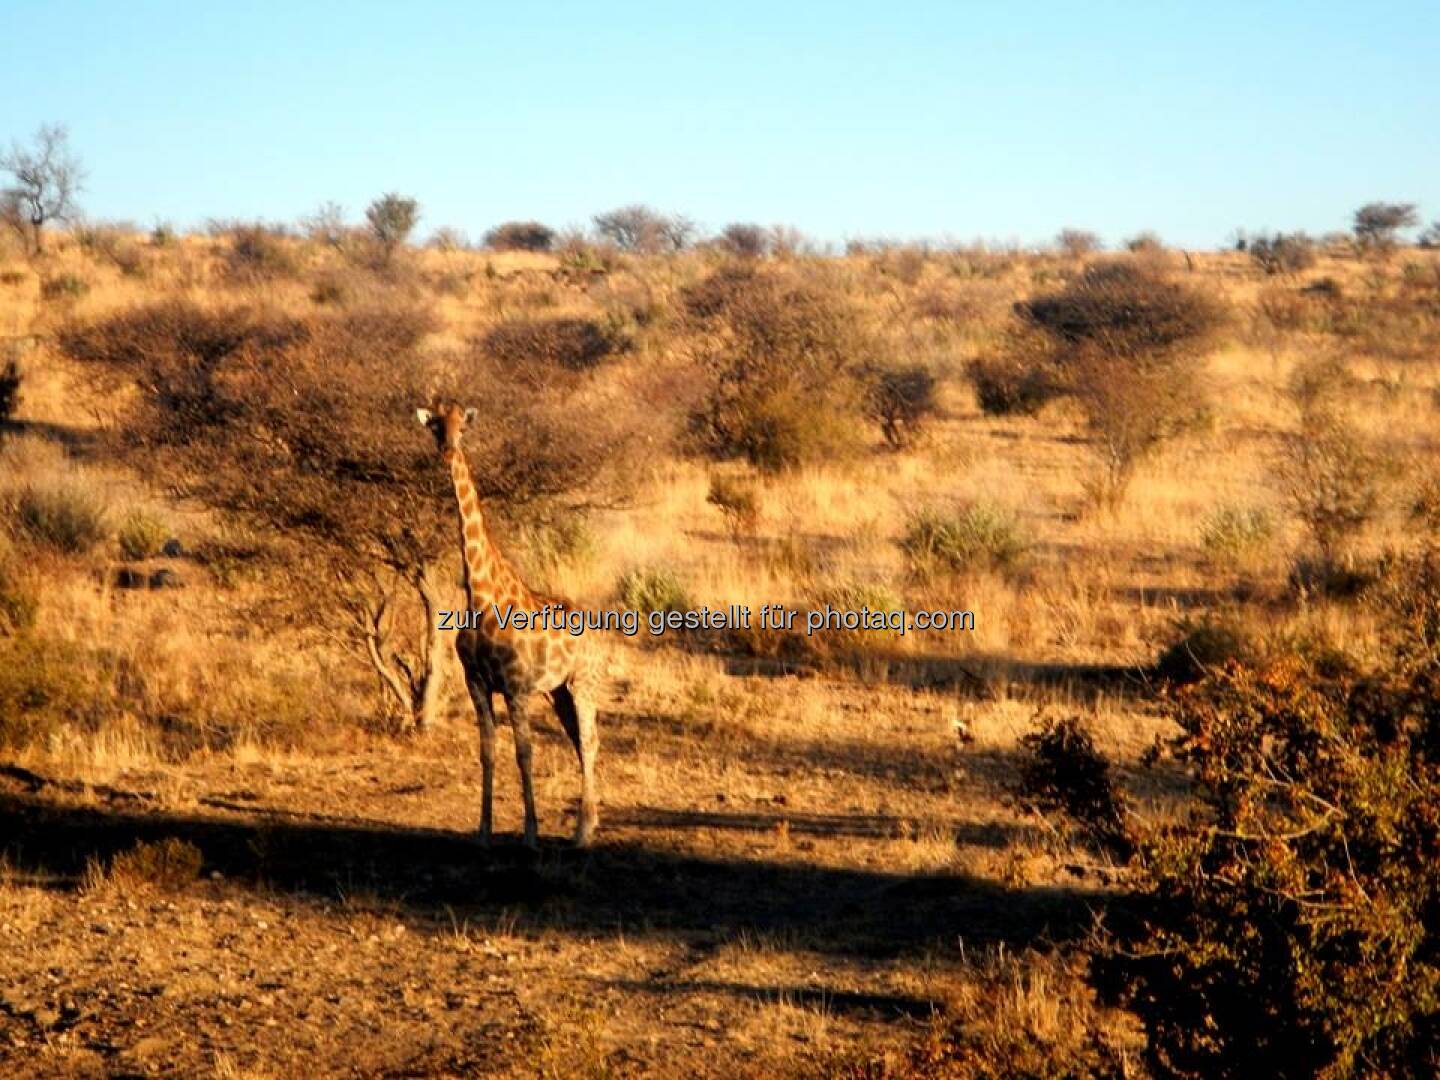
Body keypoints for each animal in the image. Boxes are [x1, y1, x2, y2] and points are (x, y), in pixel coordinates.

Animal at [414, 403, 599, 852]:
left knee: (590, 742)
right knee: (580, 742)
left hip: (583, 682)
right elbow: (488, 752)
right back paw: (586, 824)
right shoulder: (477, 683)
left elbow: (524, 752)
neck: (480, 598)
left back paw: (583, 832)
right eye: (435, 427)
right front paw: (483, 831)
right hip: (558, 691)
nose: (447, 450)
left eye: (462, 427)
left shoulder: (515, 686)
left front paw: (530, 834)